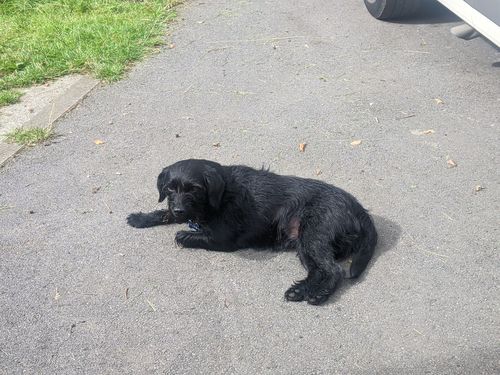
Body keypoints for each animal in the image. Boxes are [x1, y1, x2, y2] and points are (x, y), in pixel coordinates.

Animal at [127, 159, 376, 306]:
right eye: (170, 188)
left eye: (194, 189)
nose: (179, 209)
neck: (223, 191)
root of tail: (359, 208)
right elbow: (164, 213)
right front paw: (141, 218)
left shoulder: (224, 239)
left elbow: (184, 235)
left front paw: (183, 234)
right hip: (303, 243)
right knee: (318, 271)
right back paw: (300, 291)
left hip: (314, 237)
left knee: (334, 270)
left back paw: (319, 295)